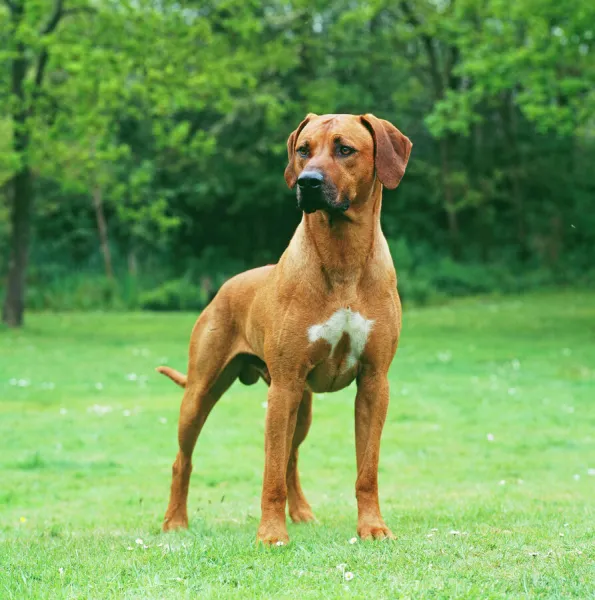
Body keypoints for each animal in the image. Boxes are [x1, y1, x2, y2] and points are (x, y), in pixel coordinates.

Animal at [156, 113, 412, 544]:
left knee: (292, 455)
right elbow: (270, 473)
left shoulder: (375, 382)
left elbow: (367, 470)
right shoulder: (285, 383)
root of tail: (224, 288)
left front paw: (373, 527)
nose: (306, 182)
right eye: (303, 150)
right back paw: (175, 521)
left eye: (345, 149)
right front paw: (272, 534)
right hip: (203, 391)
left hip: (301, 404)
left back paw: (303, 512)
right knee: (183, 460)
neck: (343, 257)